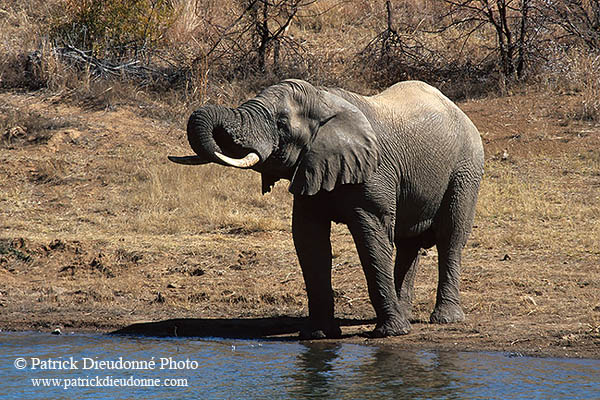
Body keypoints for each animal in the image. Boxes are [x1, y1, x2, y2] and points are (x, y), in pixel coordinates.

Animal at [168, 79, 482, 340]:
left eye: (281, 123)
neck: (324, 100)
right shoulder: (310, 167)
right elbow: (309, 241)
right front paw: (318, 335)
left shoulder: (374, 173)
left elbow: (371, 239)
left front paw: (389, 334)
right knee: (409, 245)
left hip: (466, 170)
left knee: (450, 238)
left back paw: (444, 320)